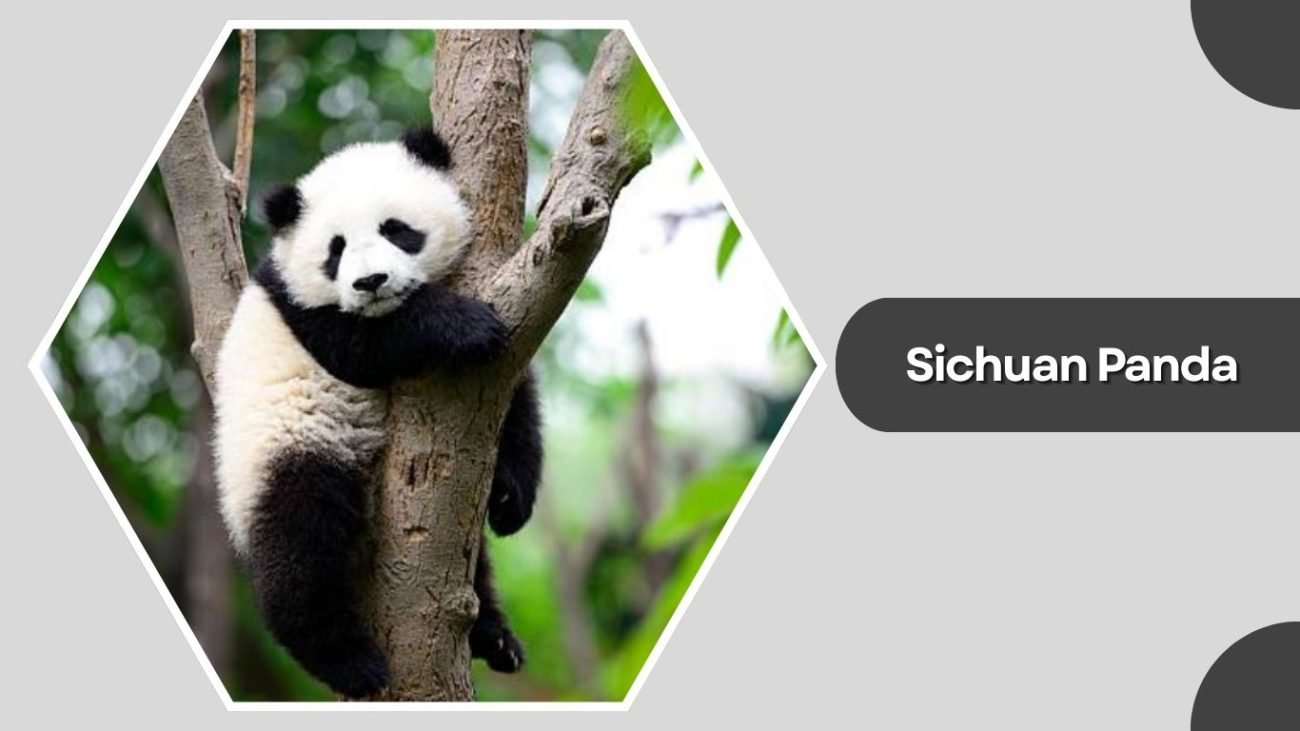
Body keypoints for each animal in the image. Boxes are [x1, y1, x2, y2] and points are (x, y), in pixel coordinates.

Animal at [212, 127, 541, 698]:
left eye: (397, 230)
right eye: (335, 250)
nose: (371, 282)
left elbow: (515, 401)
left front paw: (509, 497)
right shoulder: (306, 315)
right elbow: (368, 346)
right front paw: (463, 326)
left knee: (470, 561)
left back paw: (494, 638)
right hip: (286, 448)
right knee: (301, 541)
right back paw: (347, 660)